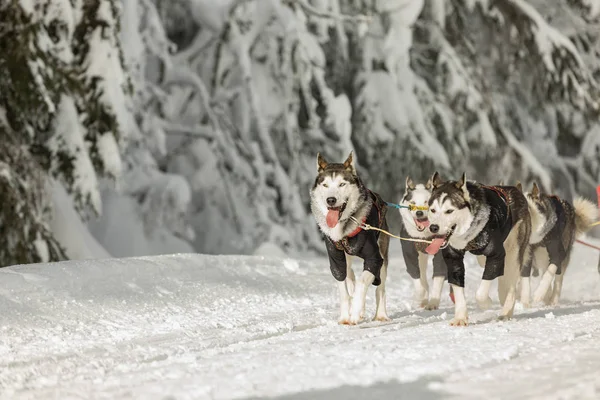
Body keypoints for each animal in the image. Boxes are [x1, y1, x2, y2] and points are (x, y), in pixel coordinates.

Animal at [310, 152, 390, 324]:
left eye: (342, 184)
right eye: (325, 185)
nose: (331, 199)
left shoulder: (374, 258)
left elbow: (362, 283)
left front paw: (355, 312)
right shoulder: (336, 259)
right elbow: (343, 286)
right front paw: (346, 316)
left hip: (383, 252)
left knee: (380, 287)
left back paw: (380, 314)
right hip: (347, 257)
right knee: (350, 273)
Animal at [398, 176, 446, 310]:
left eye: (426, 202)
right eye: (413, 202)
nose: (419, 213)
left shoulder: (440, 250)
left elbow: (439, 274)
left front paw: (433, 302)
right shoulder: (409, 252)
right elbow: (416, 275)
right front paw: (421, 296)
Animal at [424, 172, 532, 324]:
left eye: (449, 211)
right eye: (433, 210)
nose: (433, 227)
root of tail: (516, 190)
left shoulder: (496, 255)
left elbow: (481, 292)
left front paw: (486, 303)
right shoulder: (453, 258)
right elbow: (457, 286)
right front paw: (460, 318)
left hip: (514, 253)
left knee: (511, 285)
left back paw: (506, 312)